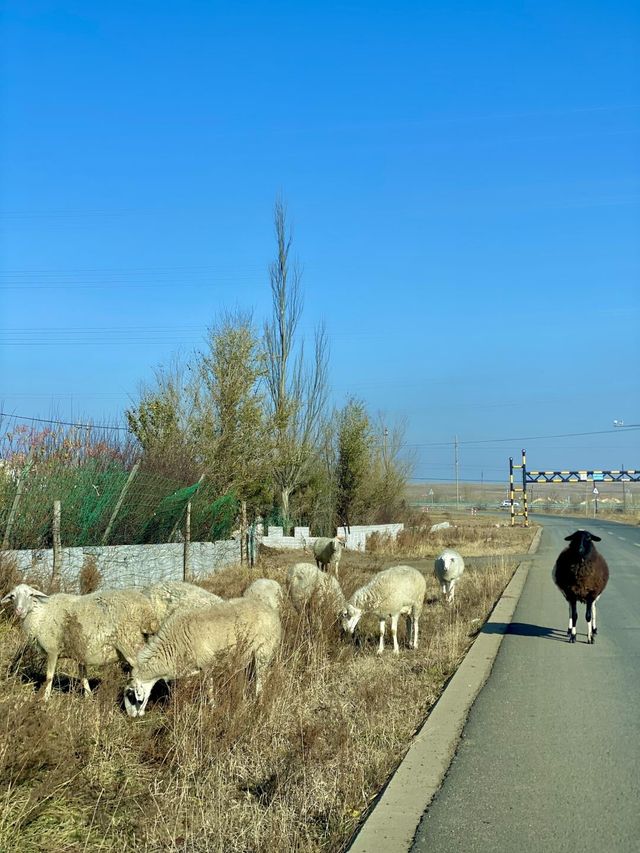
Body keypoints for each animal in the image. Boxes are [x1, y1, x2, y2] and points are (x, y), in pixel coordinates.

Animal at [0, 584, 159, 700]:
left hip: (131, 642)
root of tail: (147, 610)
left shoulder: (52, 650)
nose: (19, 610)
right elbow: (83, 676)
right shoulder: (80, 652)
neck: (40, 614)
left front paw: (44, 699)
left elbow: (49, 677)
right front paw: (88, 698)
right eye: (12, 596)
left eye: (31, 595)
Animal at [124, 592, 282, 720]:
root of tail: (272, 612)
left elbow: (209, 689)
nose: (130, 716)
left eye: (130, 695)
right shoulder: (188, 670)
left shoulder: (207, 664)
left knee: (261, 678)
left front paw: (212, 707)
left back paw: (258, 701)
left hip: (264, 650)